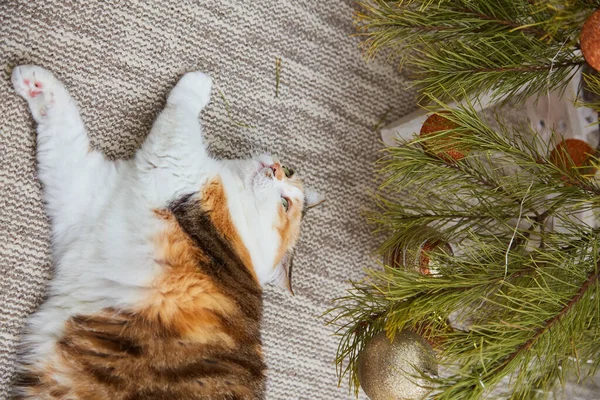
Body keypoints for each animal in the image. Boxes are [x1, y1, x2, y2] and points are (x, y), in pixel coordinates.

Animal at [9, 64, 322, 398]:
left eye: (285, 203)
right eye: (288, 172)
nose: (274, 168)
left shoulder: (175, 165)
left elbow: (179, 112)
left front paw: (199, 82)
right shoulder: (85, 193)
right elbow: (64, 129)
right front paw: (35, 84)